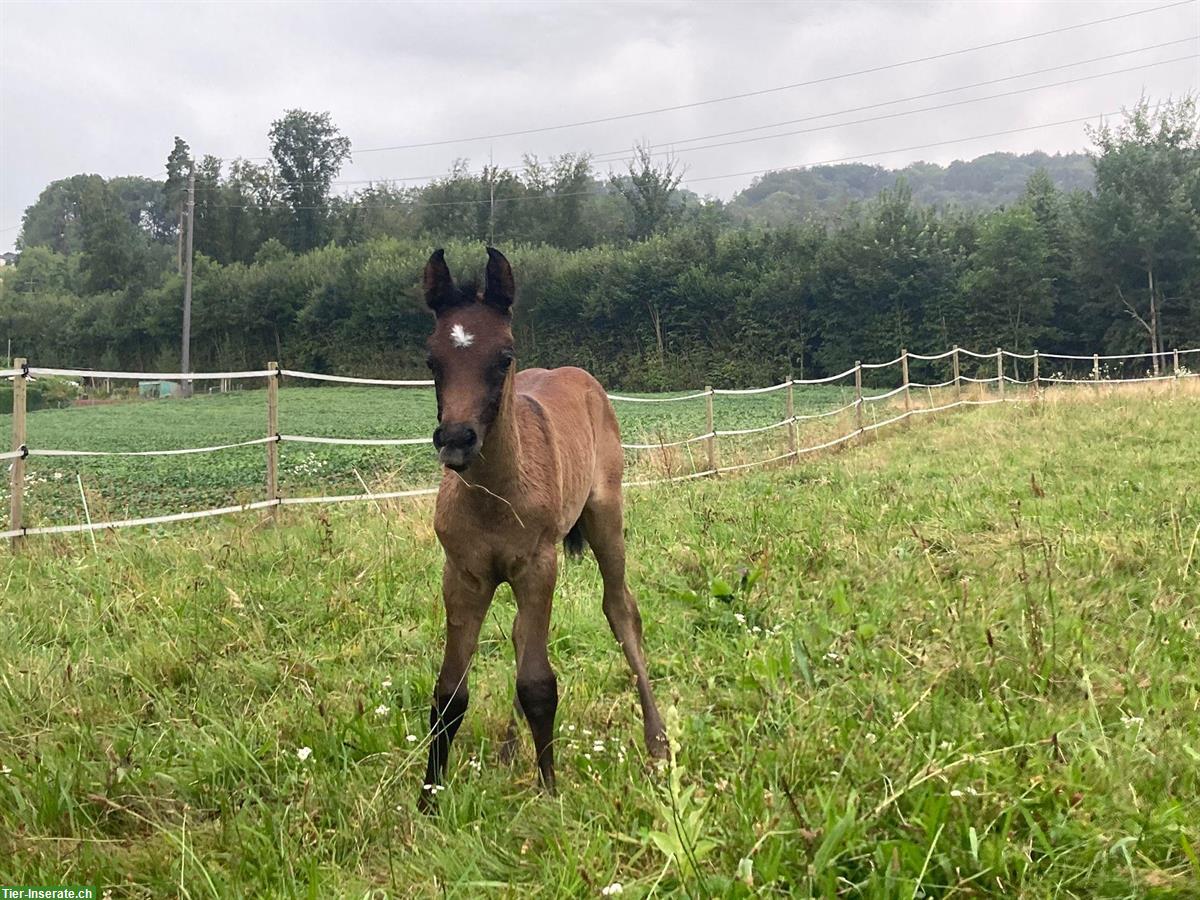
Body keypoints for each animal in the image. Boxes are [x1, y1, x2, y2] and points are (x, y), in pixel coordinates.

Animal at [420, 247, 667, 811]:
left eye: (504, 356)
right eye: (432, 360)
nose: (457, 440)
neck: (494, 498)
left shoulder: (538, 565)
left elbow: (537, 683)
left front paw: (549, 791)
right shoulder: (462, 575)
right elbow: (448, 694)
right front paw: (426, 800)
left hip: (605, 517)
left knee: (622, 610)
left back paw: (658, 741)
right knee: (518, 632)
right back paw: (511, 748)